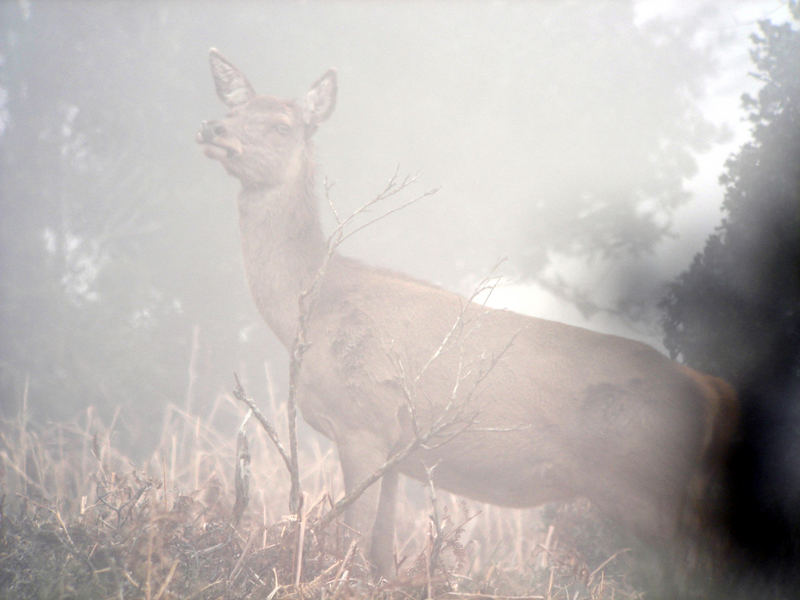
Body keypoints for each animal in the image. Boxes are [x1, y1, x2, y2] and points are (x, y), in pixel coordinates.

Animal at [198, 50, 736, 576]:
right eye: (234, 111)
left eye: (281, 126)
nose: (212, 129)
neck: (313, 308)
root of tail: (711, 391)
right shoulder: (394, 452)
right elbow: (380, 556)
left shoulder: (362, 422)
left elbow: (349, 544)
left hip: (644, 493)